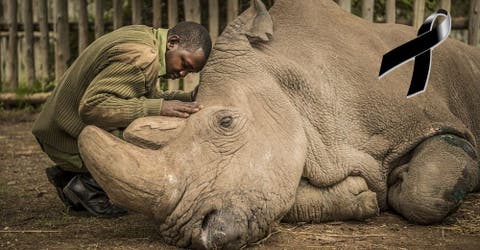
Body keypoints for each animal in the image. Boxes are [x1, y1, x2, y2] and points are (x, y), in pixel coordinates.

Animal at [77, 0, 478, 248]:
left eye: (225, 122)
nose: (189, 233)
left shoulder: (436, 124)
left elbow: (425, 191)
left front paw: (401, 180)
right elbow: (283, 196)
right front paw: (361, 196)